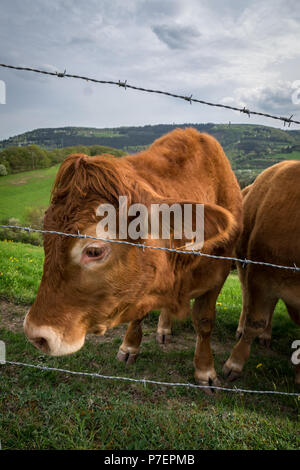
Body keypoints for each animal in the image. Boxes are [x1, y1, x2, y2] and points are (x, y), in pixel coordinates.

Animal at [24, 127, 243, 392]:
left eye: (94, 251)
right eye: (46, 234)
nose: (34, 334)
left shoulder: (219, 274)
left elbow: (204, 321)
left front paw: (205, 370)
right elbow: (139, 312)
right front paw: (129, 347)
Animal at [224, 162, 300, 386]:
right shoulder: (261, 276)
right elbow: (255, 322)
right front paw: (234, 365)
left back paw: (266, 336)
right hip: (244, 264)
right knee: (246, 299)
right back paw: (241, 329)